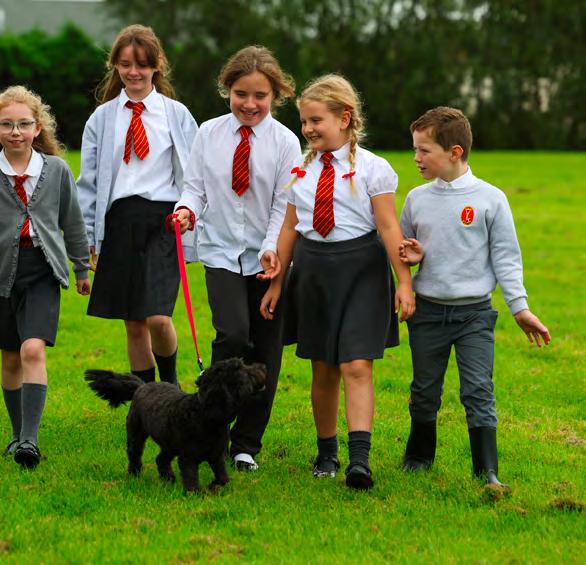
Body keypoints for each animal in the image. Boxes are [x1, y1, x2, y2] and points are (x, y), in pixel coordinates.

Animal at [85, 358, 266, 492]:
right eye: (244, 370)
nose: (262, 366)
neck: (204, 414)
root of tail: (142, 385)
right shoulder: (188, 458)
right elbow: (191, 477)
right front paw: (195, 493)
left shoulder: (216, 456)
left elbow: (223, 478)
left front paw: (213, 486)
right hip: (136, 433)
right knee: (134, 454)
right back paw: (134, 476)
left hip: (169, 444)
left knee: (160, 459)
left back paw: (168, 479)